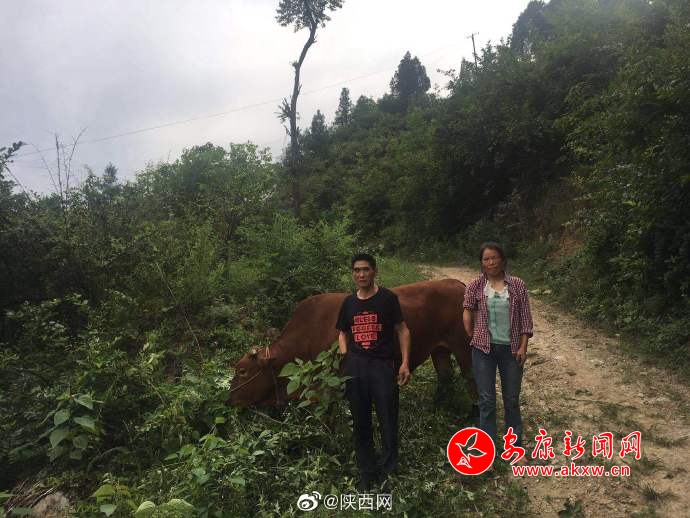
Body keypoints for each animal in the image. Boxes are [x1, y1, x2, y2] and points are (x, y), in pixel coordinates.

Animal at [228, 278, 476, 407]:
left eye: (242, 371)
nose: (229, 399)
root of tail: (456, 283)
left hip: (464, 347)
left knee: (471, 379)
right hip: (440, 349)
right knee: (445, 375)